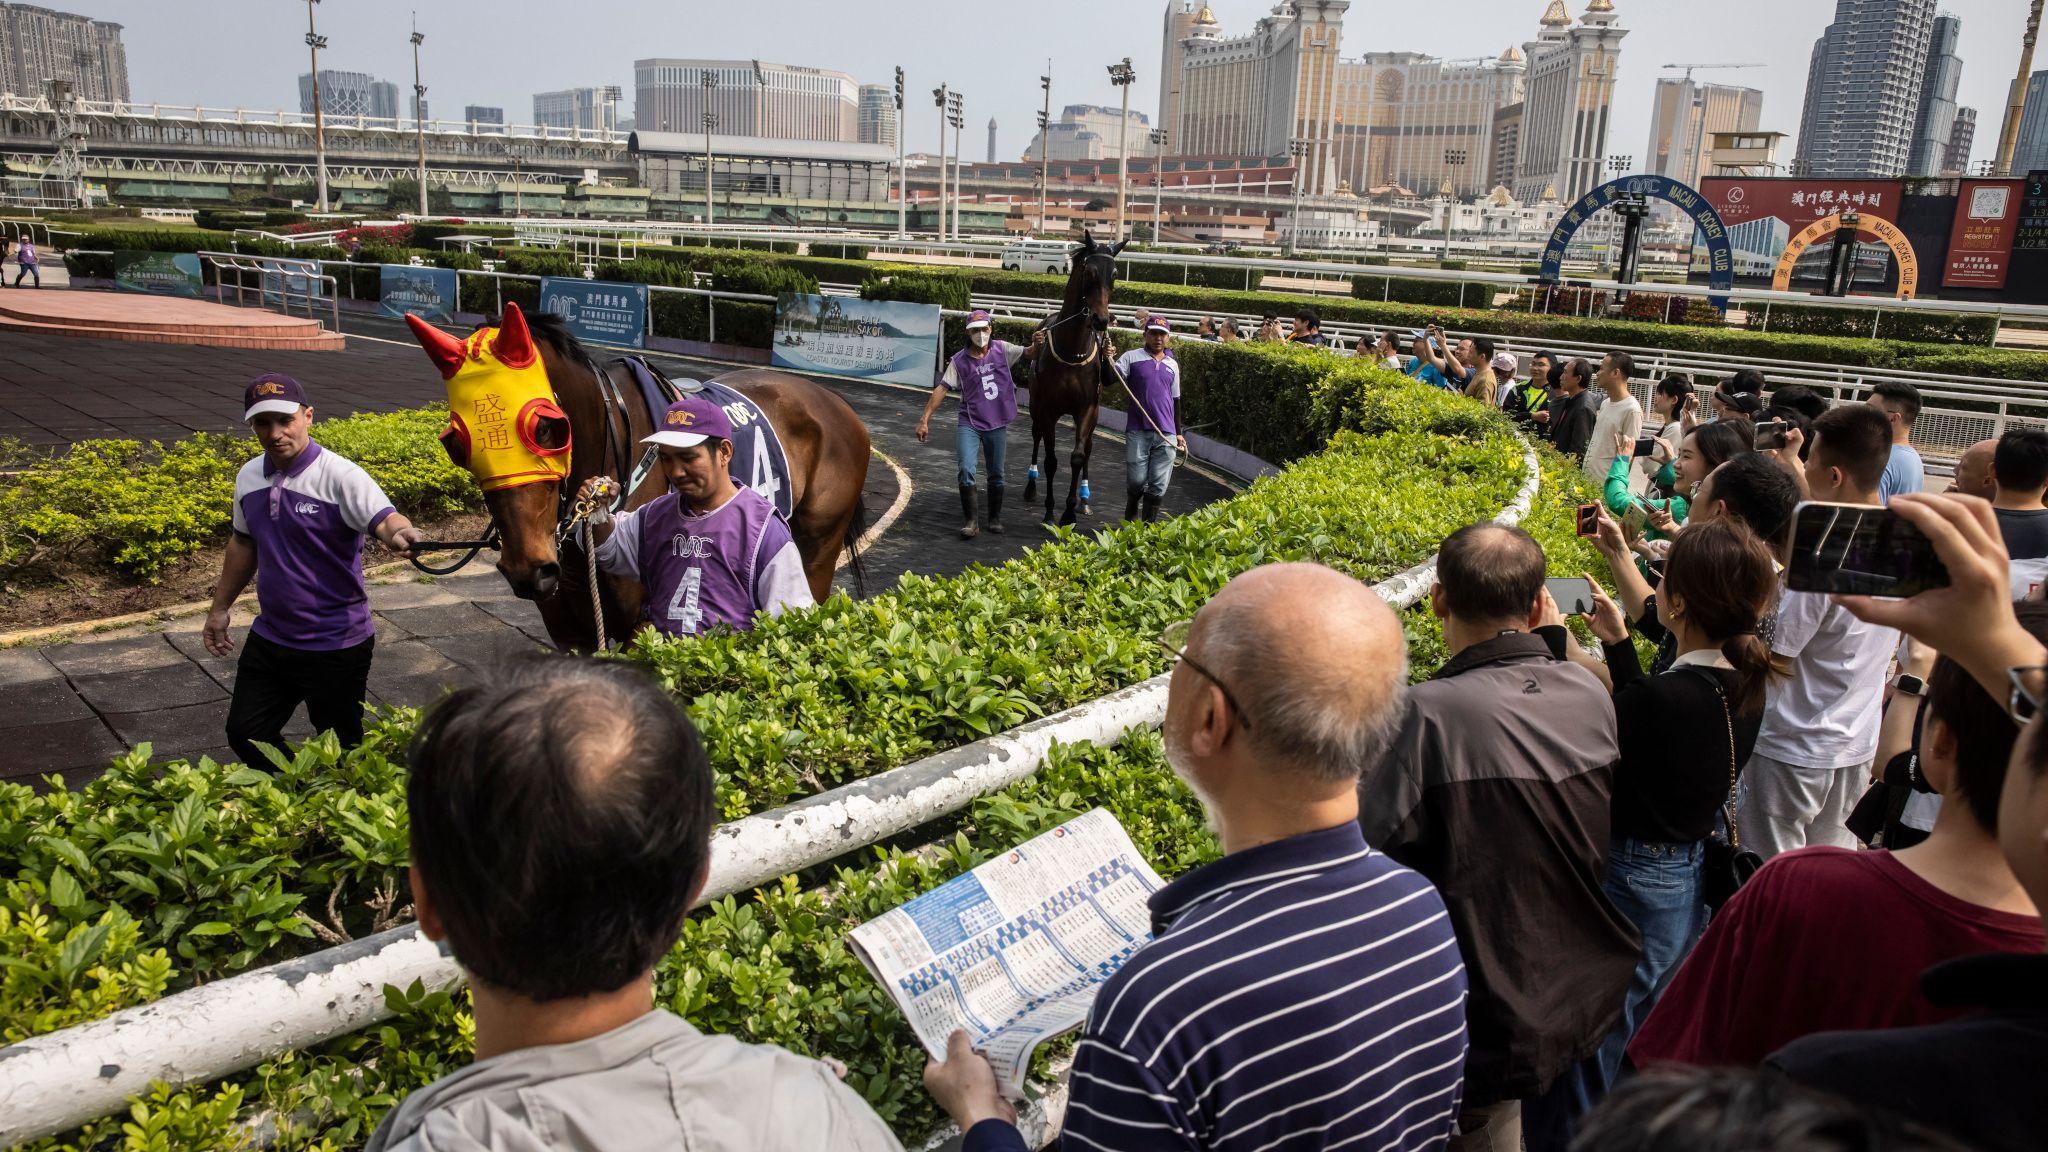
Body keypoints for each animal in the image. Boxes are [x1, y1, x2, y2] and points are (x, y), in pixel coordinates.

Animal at [403, 301, 868, 651]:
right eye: (455, 443)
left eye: (546, 428)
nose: (527, 569)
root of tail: (833, 398)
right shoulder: (568, 629)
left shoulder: (643, 625)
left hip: (818, 546)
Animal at [1019, 229, 1130, 524]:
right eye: (1089, 271)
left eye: (1115, 273)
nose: (1101, 320)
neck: (1072, 350)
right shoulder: (1047, 407)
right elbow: (1051, 459)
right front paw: (1049, 510)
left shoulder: (1087, 408)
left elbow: (1078, 456)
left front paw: (1069, 511)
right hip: (1035, 405)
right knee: (1036, 435)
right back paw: (1031, 486)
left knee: (1089, 446)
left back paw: (1084, 499)